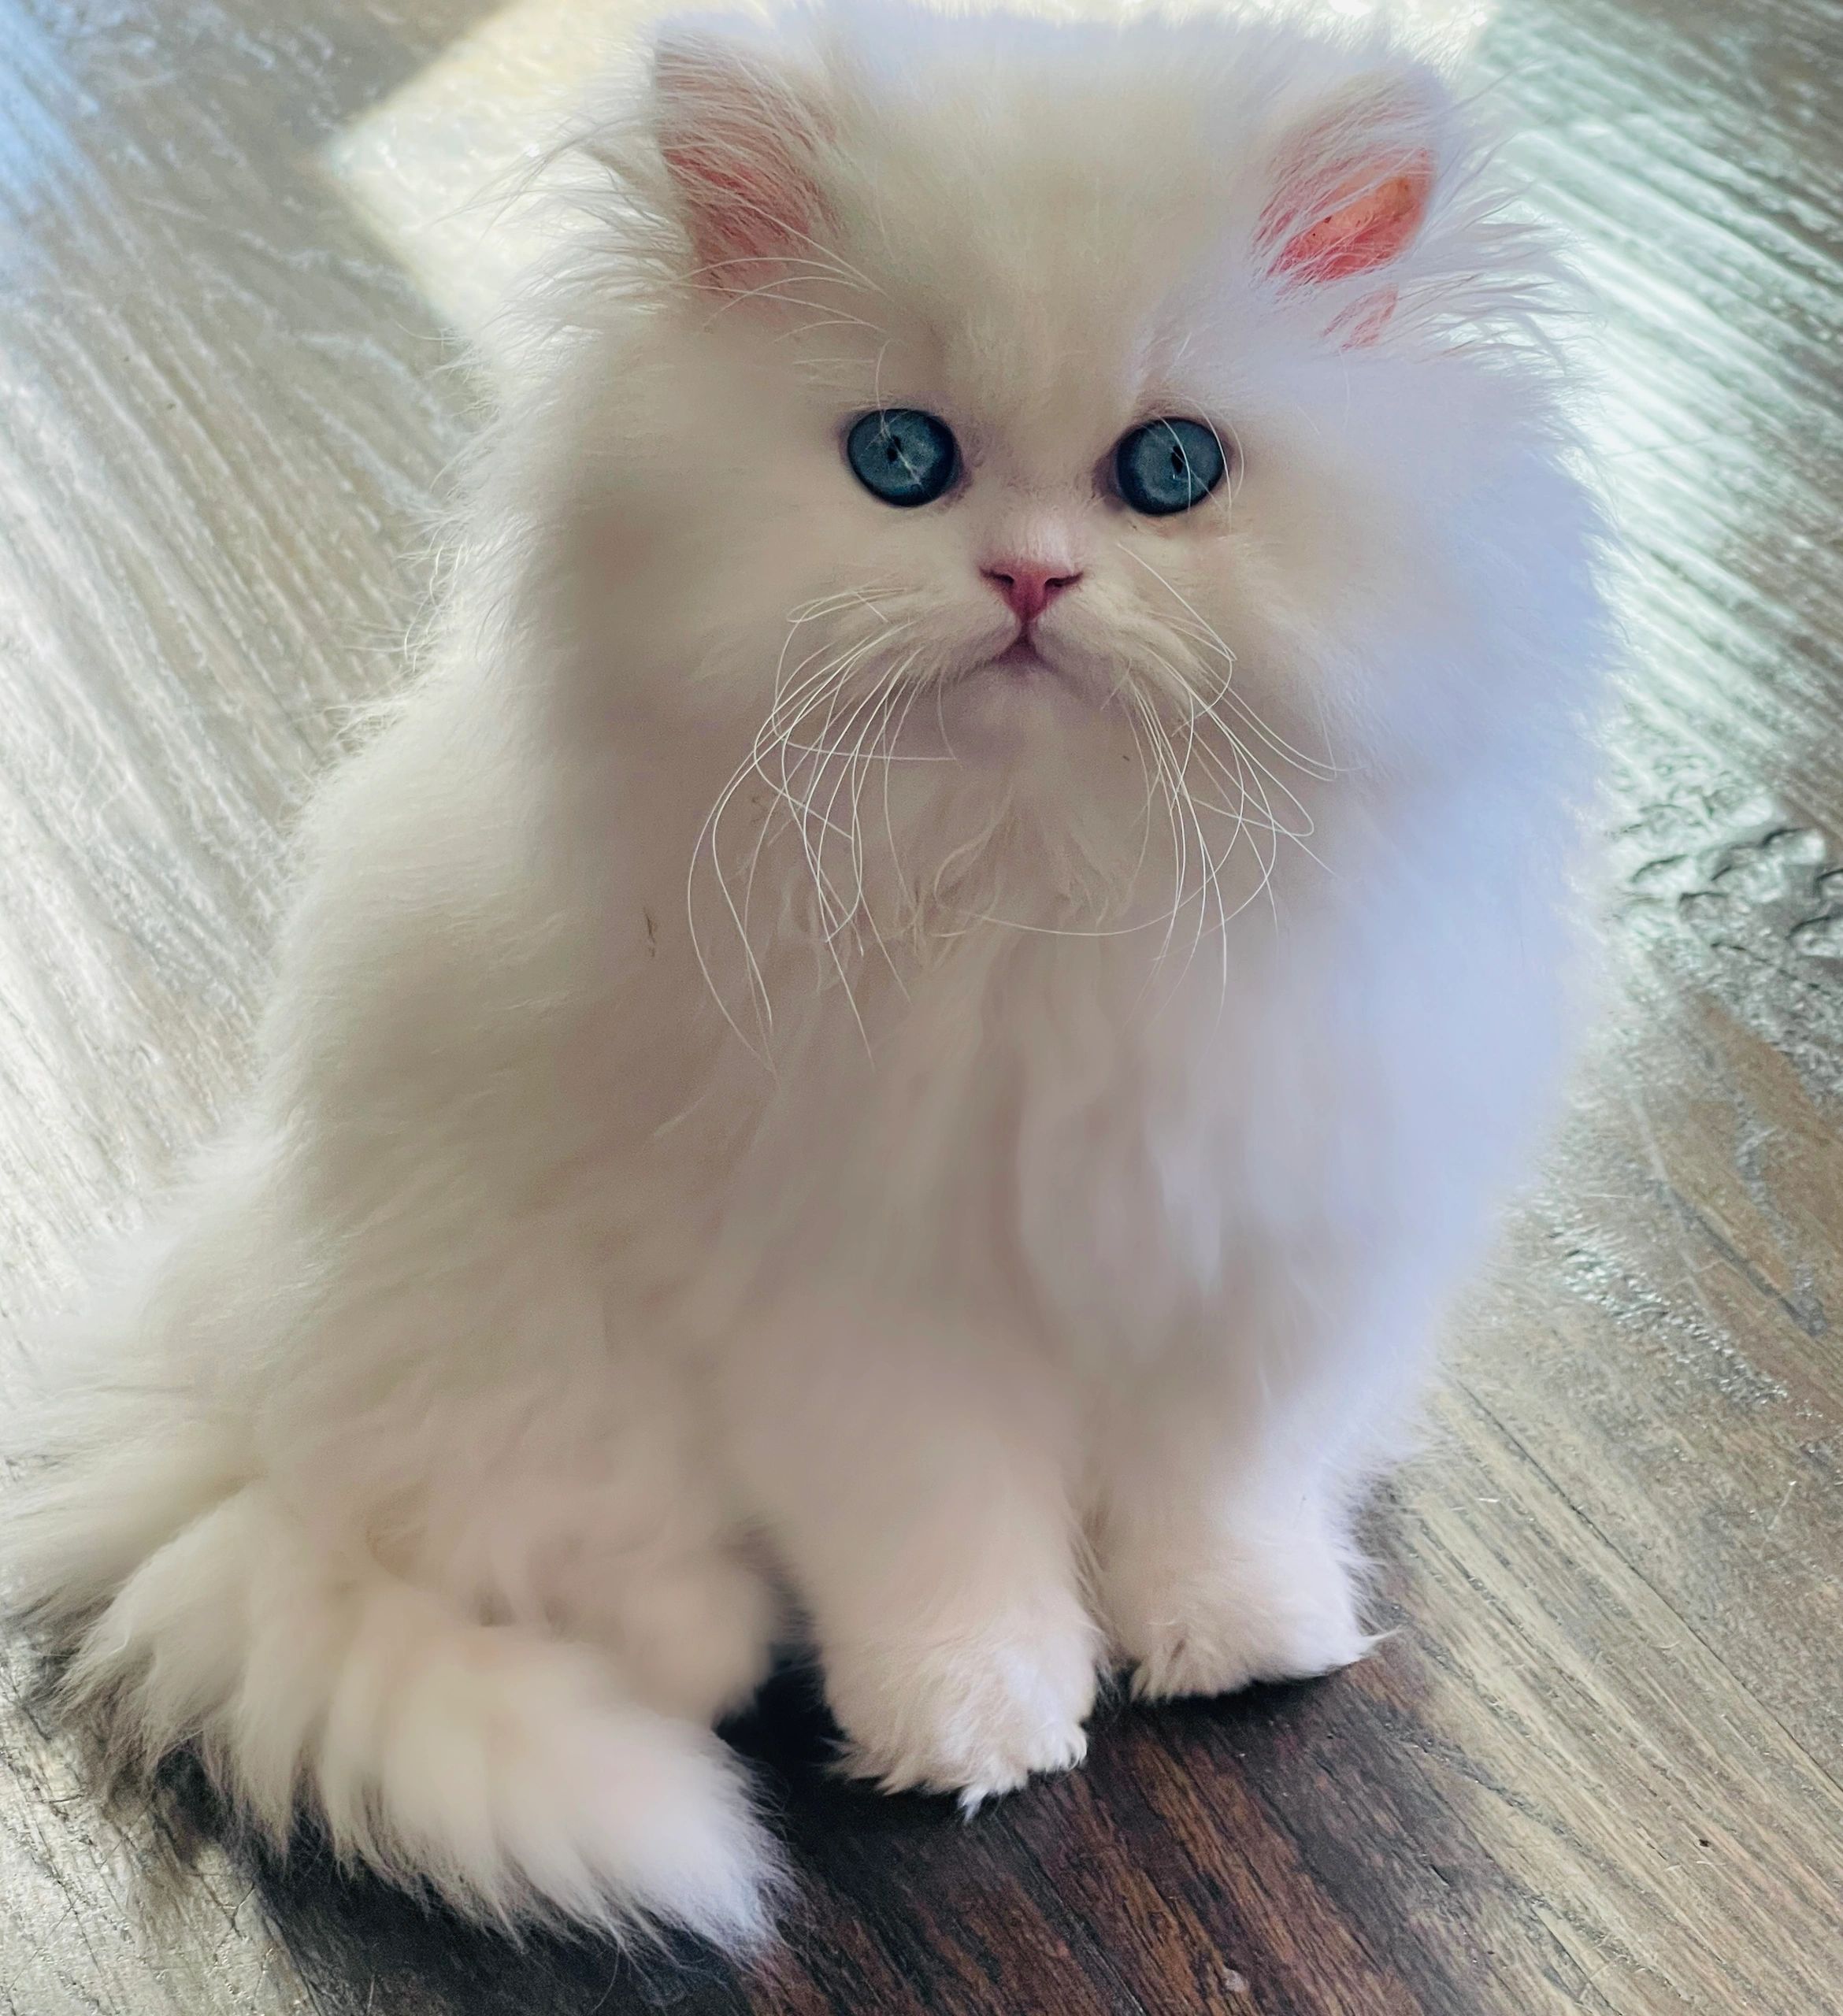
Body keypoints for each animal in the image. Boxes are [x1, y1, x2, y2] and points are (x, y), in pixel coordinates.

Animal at [7, 0, 1604, 1951]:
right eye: (901, 459)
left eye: (1170, 471)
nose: (1029, 578)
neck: (1037, 887)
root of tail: (214, 1374)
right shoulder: (856, 1312)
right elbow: (946, 1550)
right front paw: (976, 1724)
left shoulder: (1253, 1258)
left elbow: (1213, 1493)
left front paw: (1238, 1641)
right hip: (522, 1374)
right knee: (549, 1561)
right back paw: (703, 1643)